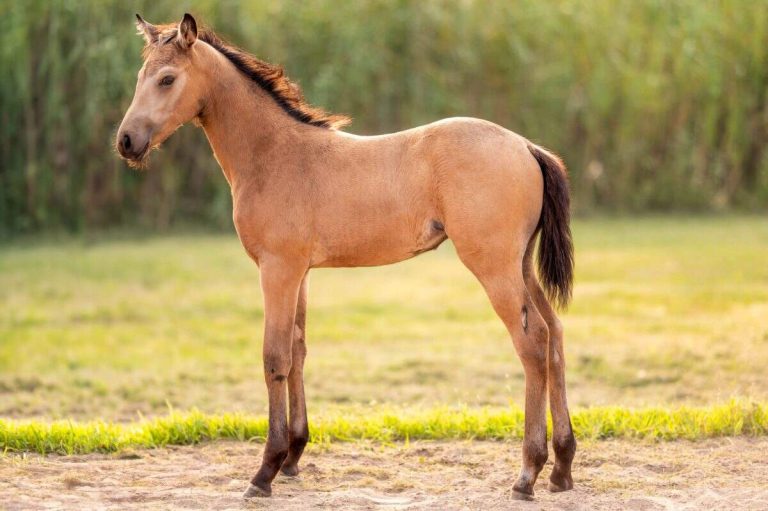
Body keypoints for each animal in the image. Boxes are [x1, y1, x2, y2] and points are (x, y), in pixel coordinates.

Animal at [117, 14, 576, 502]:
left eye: (167, 79)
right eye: (141, 76)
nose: (126, 141)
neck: (274, 154)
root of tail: (526, 146)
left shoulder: (277, 269)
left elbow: (274, 357)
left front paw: (265, 470)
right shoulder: (300, 273)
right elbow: (297, 349)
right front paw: (293, 456)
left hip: (494, 267)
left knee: (532, 342)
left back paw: (527, 473)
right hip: (521, 265)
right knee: (554, 335)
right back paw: (562, 468)